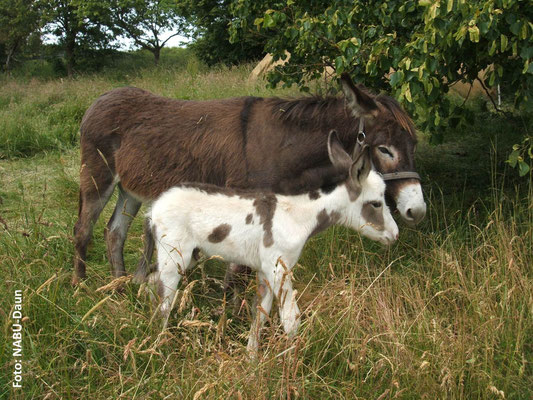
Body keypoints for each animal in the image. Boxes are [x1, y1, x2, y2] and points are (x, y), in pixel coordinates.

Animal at [148, 130, 396, 354]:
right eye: (376, 203)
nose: (395, 235)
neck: (299, 216)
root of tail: (155, 207)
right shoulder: (278, 269)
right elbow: (291, 320)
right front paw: (291, 365)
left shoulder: (266, 273)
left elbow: (260, 315)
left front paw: (252, 362)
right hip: (175, 258)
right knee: (164, 301)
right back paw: (160, 349)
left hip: (187, 256)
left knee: (152, 281)